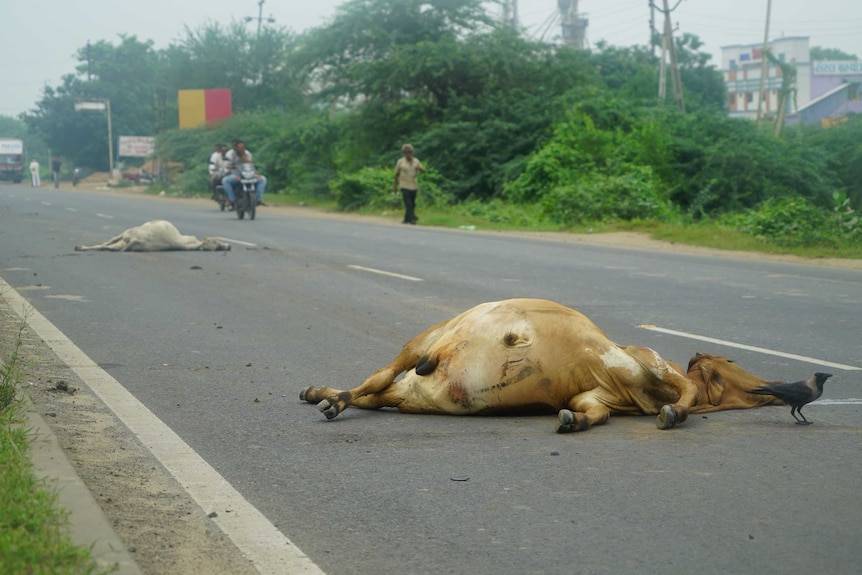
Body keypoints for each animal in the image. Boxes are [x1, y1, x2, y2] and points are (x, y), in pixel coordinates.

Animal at [300, 300, 800, 434]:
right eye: (730, 362)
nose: (779, 388)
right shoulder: (641, 362)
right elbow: (685, 396)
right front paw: (674, 414)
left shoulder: (596, 392)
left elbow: (594, 413)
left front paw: (572, 421)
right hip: (422, 340)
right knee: (376, 380)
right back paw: (331, 401)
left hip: (408, 385)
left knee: (376, 394)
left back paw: (320, 393)